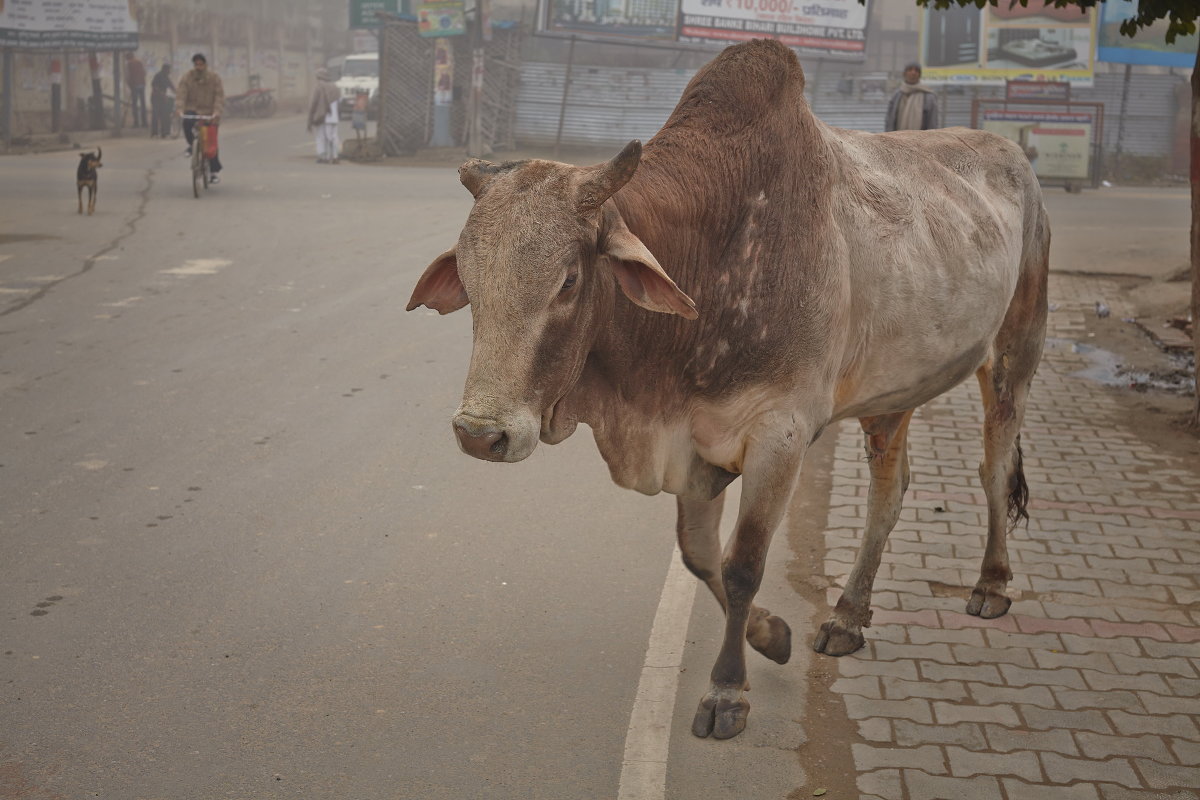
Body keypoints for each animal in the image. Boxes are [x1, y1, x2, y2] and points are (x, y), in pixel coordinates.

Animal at [408, 37, 1046, 738]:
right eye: (469, 278)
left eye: (569, 280)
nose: (480, 434)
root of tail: (1012, 153)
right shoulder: (691, 443)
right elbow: (699, 556)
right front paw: (771, 635)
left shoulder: (780, 437)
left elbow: (742, 566)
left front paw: (727, 690)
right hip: (894, 394)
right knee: (890, 489)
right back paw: (848, 615)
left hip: (1016, 352)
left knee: (993, 467)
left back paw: (990, 584)